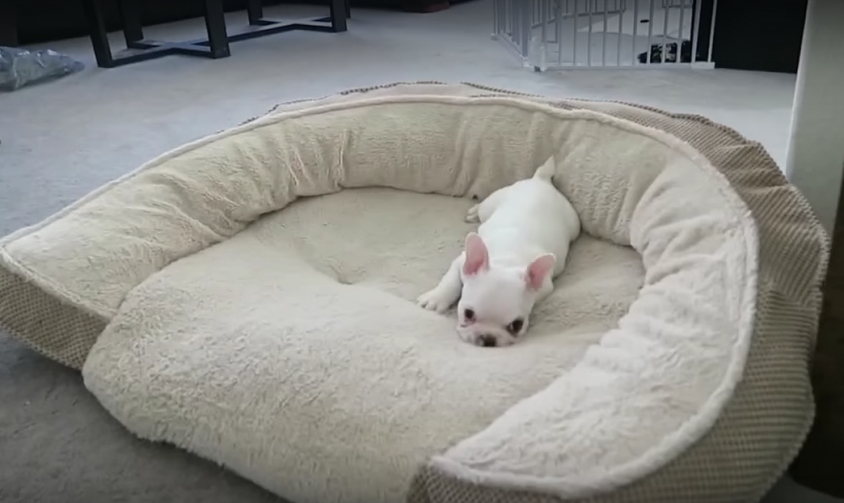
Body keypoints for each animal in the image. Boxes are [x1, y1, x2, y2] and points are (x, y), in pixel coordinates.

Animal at [416, 158, 580, 346]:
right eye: (467, 314)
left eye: (517, 325)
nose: (488, 338)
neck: (505, 262)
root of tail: (541, 180)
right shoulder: (461, 262)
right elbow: (450, 282)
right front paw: (436, 299)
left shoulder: (545, 286)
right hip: (494, 201)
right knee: (482, 207)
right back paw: (474, 212)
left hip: (574, 226)